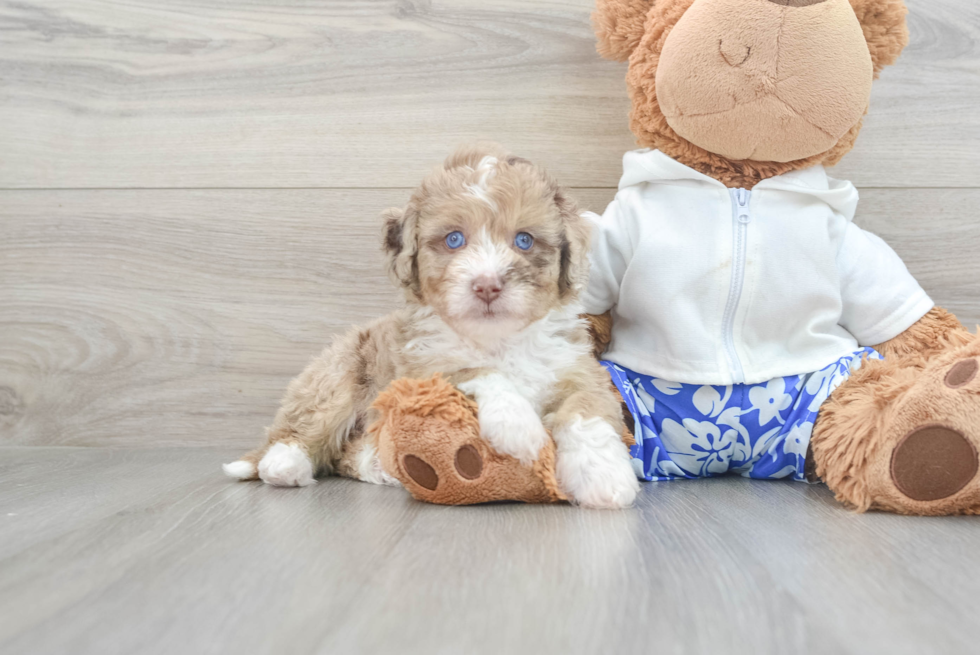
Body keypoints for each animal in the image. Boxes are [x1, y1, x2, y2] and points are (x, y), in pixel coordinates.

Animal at [223, 146, 640, 510]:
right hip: (337, 378)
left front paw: (604, 478)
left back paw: (380, 467)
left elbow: (587, 413)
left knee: (347, 453)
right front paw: (519, 429)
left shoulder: (578, 370)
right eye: (454, 239)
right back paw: (283, 464)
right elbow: (479, 371)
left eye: (524, 240)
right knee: (302, 429)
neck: (498, 339)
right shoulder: (421, 369)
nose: (487, 285)